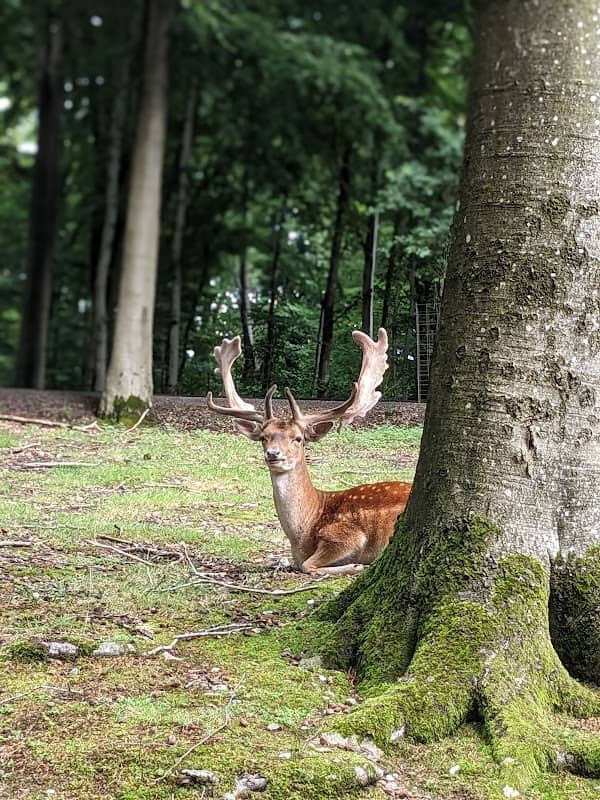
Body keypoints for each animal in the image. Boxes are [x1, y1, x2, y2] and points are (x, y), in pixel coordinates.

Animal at [206, 328, 412, 576]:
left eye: (298, 438)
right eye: (264, 437)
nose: (273, 454)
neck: (303, 532)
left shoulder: (346, 534)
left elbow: (308, 564)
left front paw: (355, 565)